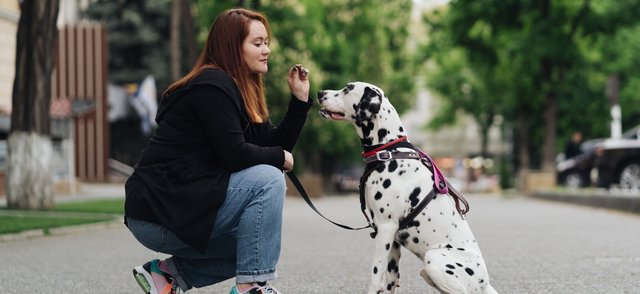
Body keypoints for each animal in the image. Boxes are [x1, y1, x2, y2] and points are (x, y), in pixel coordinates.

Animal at [318, 82, 498, 294]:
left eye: (347, 89)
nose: (320, 93)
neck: (389, 150)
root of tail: (485, 284)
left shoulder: (385, 228)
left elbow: (376, 275)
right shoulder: (393, 241)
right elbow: (390, 280)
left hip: (433, 259)